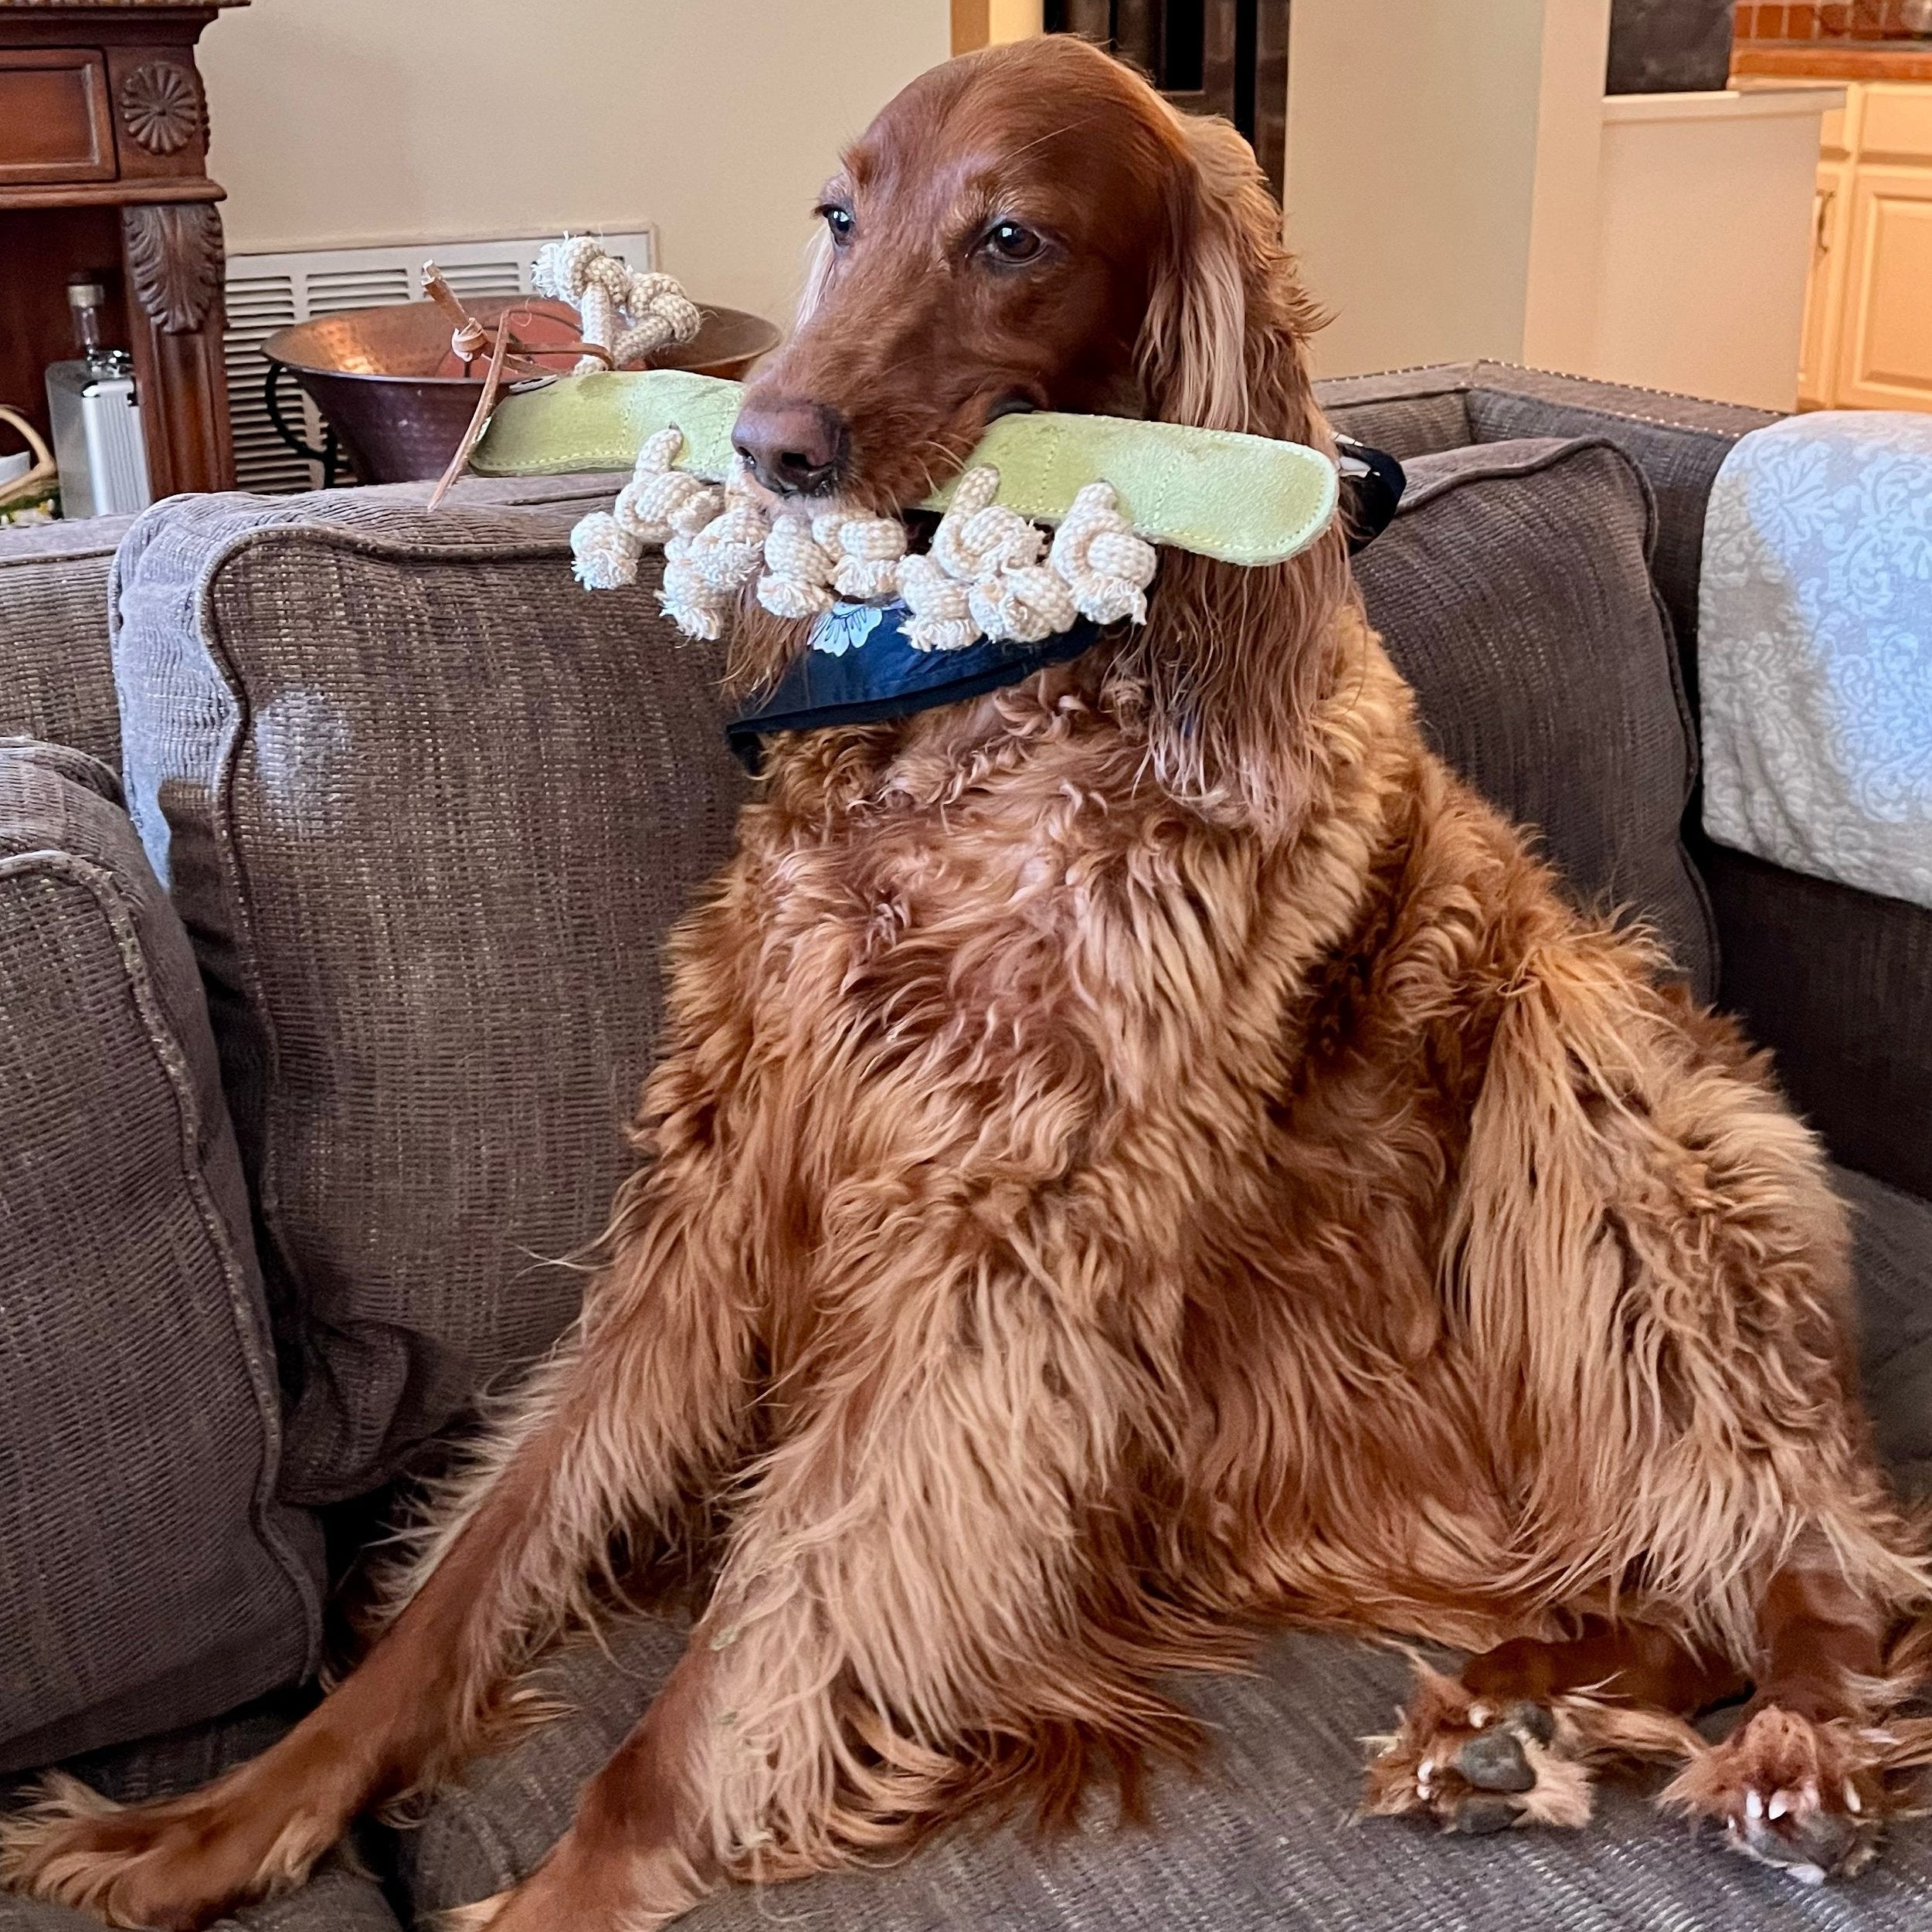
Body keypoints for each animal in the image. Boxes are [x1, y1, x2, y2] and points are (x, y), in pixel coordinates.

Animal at [3, 30, 1932, 1932]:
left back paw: (1787, 1750)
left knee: (1814, 1554)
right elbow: (482, 1559)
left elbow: (751, 1642)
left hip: (1584, 1081)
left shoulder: (991, 1255)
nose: (768, 439)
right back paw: (1509, 1703)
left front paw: (572, 1882)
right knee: (1671, 1586)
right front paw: (221, 1816)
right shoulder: (725, 1181)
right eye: (840, 217)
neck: (986, 719)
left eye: (1010, 238)